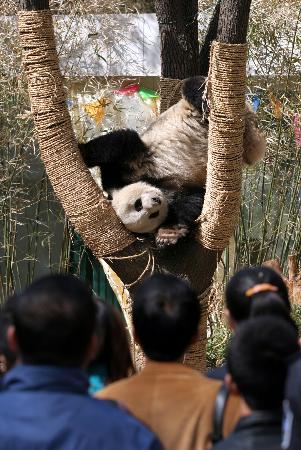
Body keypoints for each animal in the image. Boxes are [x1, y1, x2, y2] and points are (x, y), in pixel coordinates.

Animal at [78, 77, 264, 246]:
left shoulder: (125, 165)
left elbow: (120, 141)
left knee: (196, 89)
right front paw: (168, 235)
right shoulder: (175, 189)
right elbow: (193, 199)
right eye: (149, 214)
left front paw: (80, 149)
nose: (155, 201)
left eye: (138, 204)